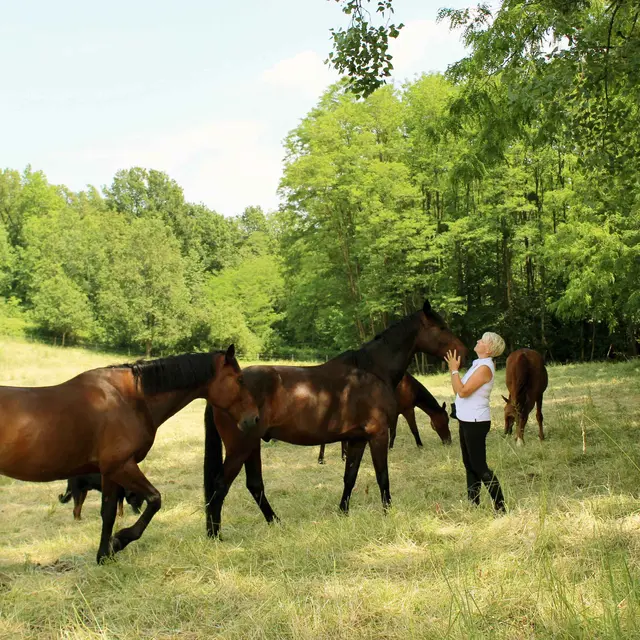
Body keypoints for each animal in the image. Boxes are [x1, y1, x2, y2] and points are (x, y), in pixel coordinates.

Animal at [0, 345, 259, 564]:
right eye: (240, 379)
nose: (254, 418)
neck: (129, 398)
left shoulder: (109, 472)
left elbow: (108, 513)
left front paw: (105, 555)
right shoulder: (122, 466)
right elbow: (154, 500)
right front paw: (120, 541)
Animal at [317, 373, 450, 463]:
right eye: (446, 421)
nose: (448, 441)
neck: (410, 388)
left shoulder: (395, 414)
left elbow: (393, 432)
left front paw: (390, 448)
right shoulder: (408, 410)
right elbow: (414, 430)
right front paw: (420, 446)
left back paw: (338, 457)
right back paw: (324, 458)